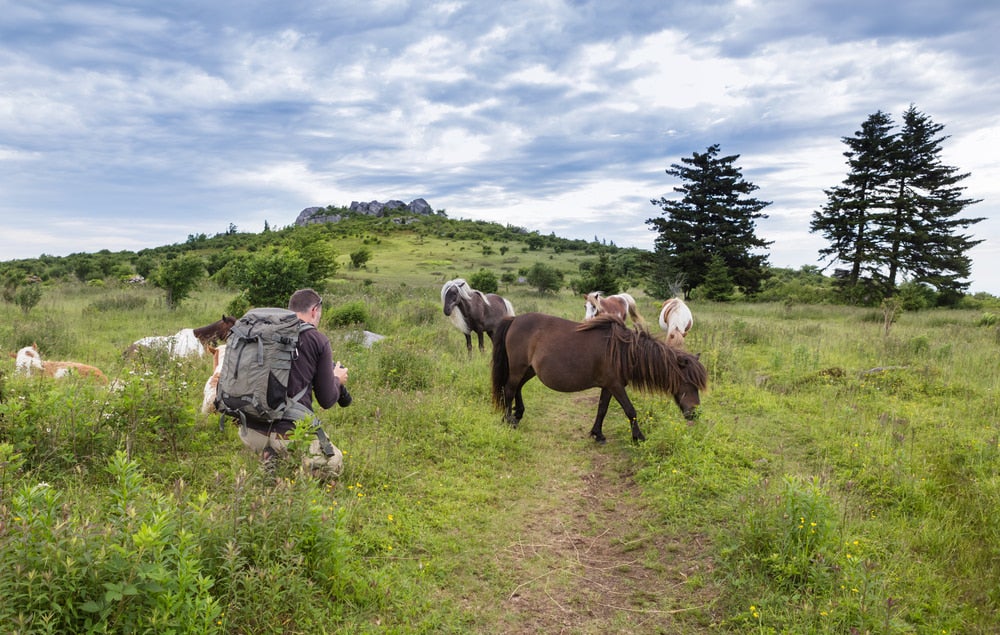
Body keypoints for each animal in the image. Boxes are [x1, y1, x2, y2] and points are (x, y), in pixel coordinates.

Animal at [490, 314, 708, 442]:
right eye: (689, 383)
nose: (695, 413)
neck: (623, 351)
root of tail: (514, 319)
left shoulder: (608, 386)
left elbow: (602, 409)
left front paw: (597, 433)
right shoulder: (616, 385)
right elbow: (630, 410)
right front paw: (638, 437)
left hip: (528, 370)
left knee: (516, 388)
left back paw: (517, 415)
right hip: (518, 367)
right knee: (509, 390)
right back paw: (508, 420)